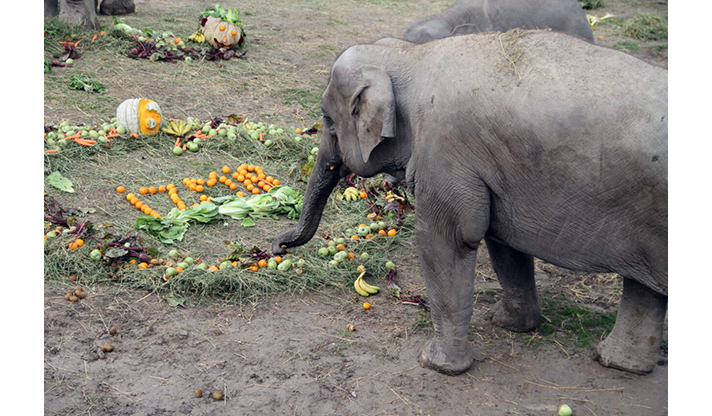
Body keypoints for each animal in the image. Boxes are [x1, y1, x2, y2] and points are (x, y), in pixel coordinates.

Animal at [272, 30, 668, 376]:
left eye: (328, 120)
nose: (277, 246)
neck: (411, 55)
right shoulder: (494, 171)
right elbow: (503, 241)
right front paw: (509, 325)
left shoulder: (445, 153)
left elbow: (445, 241)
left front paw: (436, 365)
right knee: (645, 288)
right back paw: (617, 363)